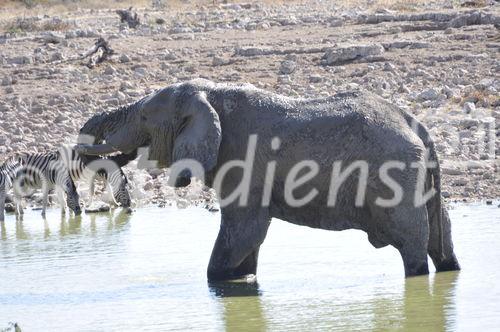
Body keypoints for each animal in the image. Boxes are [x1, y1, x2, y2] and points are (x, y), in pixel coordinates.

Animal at [77, 79, 460, 282]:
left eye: (144, 116)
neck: (211, 94)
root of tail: (416, 126)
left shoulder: (242, 160)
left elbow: (242, 232)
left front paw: (223, 284)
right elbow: (248, 241)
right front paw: (243, 279)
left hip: (395, 174)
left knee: (412, 246)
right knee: (440, 238)